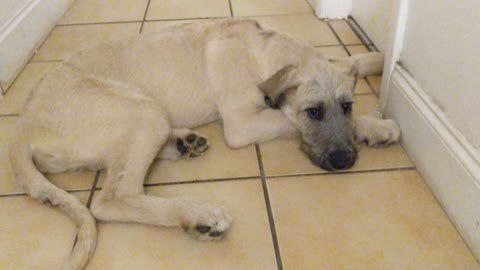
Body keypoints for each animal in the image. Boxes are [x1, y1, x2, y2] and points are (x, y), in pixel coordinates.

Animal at [10, 17, 402, 268]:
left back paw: (185, 142)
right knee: (112, 199)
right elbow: (287, 119)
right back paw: (198, 214)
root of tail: (22, 125)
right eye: (314, 112)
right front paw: (376, 125)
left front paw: (381, 60)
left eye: (346, 105)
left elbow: (345, 58)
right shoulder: (243, 123)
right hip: (143, 112)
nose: (344, 161)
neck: (263, 51)